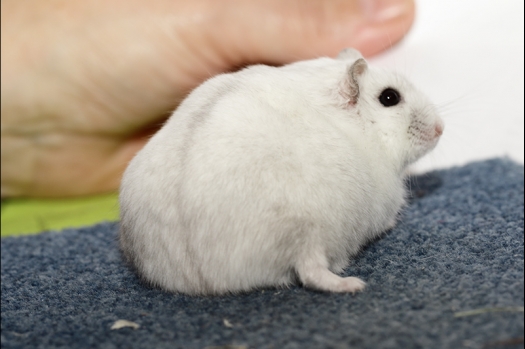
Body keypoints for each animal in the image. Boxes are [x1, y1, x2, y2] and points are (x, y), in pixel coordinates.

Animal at [117, 47, 442, 294]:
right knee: (312, 272)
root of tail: (206, 276)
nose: (441, 129)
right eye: (389, 97)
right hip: (308, 228)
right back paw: (352, 284)